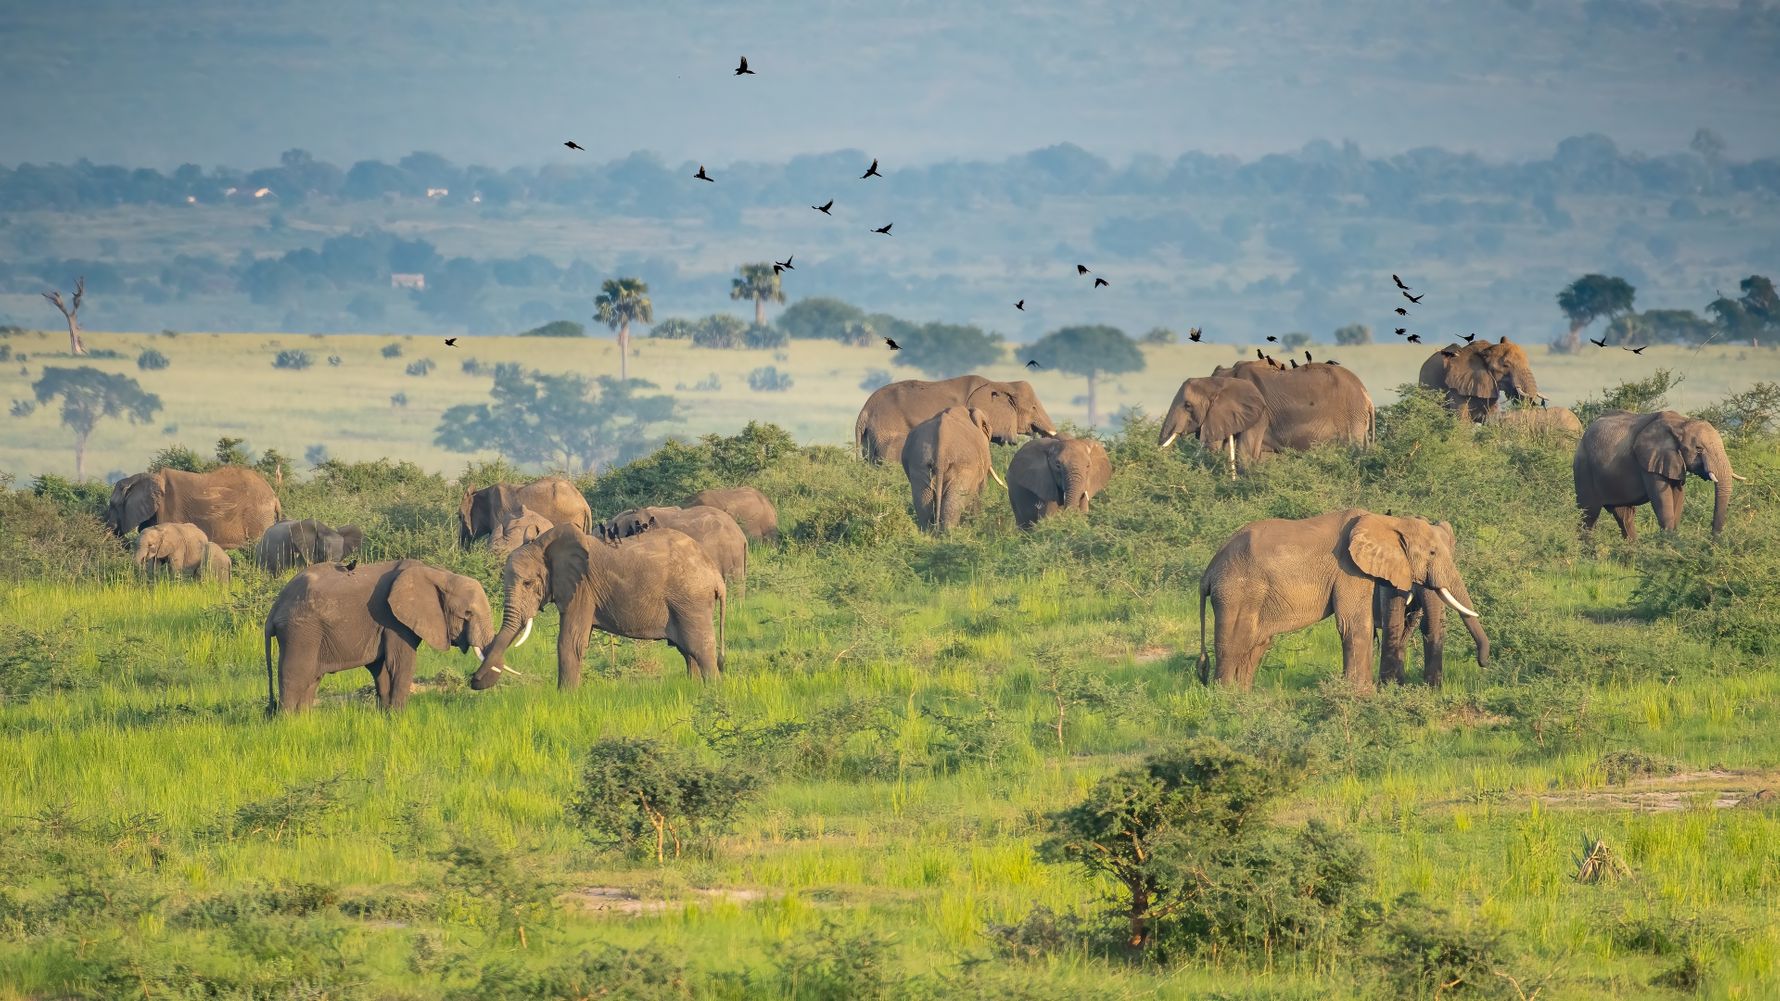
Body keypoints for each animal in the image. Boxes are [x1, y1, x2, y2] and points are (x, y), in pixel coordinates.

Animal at [264, 559, 493, 713]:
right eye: (467, 614)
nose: (474, 680)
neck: (438, 573)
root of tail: (275, 608)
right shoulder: (394, 621)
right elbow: (400, 663)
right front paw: (399, 717)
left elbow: (381, 667)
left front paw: (387, 716)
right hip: (300, 631)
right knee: (295, 675)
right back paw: (287, 723)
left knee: (311, 679)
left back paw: (303, 721)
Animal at [472, 524, 727, 688]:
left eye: (527, 583)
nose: (474, 680)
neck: (545, 543)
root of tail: (715, 574)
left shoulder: (582, 588)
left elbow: (570, 642)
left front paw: (565, 698)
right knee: (687, 651)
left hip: (691, 600)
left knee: (699, 647)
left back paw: (713, 691)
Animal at [1196, 509, 1488, 691]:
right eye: (1432, 552)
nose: (1483, 663)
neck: (1387, 522)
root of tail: (1209, 570)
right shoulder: (1349, 568)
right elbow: (1355, 624)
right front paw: (1363, 694)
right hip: (1236, 590)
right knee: (1236, 639)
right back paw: (1226, 698)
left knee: (1257, 643)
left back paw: (1243, 696)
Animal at [1574, 410, 1739, 539]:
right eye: (1699, 449)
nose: (1712, 539)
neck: (1681, 423)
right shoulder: (1650, 462)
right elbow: (1663, 502)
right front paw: (1668, 545)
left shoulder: (1674, 462)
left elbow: (1678, 498)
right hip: (1583, 468)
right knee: (1588, 515)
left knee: (1624, 516)